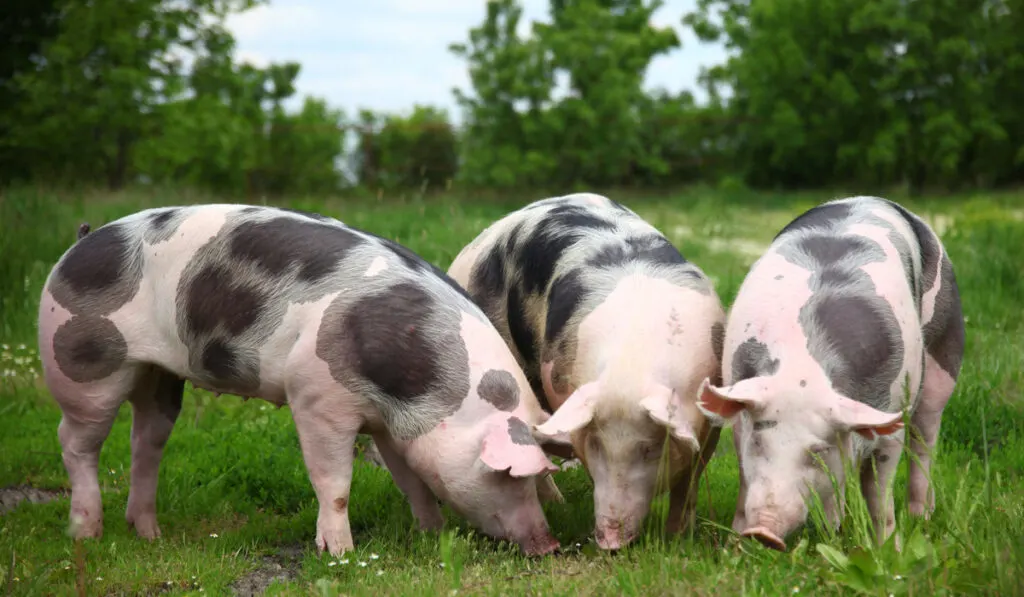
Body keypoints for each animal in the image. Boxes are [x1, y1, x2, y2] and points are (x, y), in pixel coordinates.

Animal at [37, 202, 569, 557]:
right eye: (510, 476)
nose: (550, 545)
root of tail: (78, 242)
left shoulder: (394, 425)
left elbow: (412, 480)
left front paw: (432, 533)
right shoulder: (315, 395)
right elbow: (334, 480)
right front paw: (340, 554)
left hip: (160, 375)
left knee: (145, 439)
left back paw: (150, 533)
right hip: (82, 362)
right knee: (74, 441)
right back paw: (86, 533)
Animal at [448, 192, 729, 552]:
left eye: (651, 447)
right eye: (595, 445)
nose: (609, 540)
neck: (632, 363)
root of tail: (472, 248)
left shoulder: (711, 416)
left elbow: (689, 482)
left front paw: (678, 538)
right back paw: (558, 503)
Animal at [700, 194, 962, 552]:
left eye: (818, 451)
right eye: (759, 441)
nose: (764, 532)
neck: (803, 371)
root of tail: (872, 198)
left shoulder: (890, 422)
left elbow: (878, 493)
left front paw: (887, 550)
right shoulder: (742, 416)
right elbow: (744, 482)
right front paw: (734, 548)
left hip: (943, 355)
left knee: (924, 442)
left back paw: (920, 518)